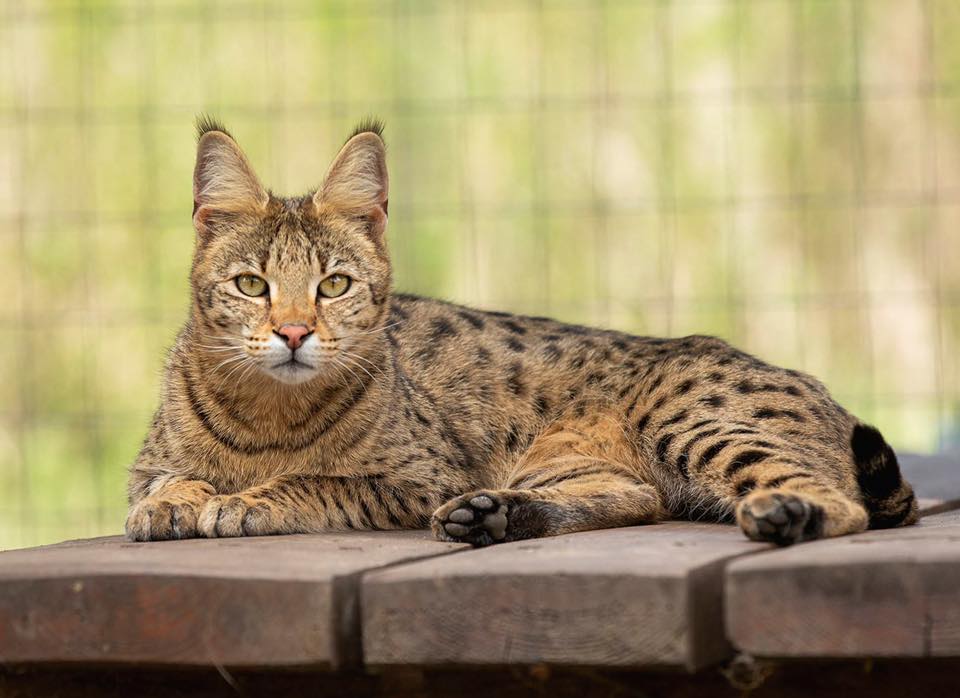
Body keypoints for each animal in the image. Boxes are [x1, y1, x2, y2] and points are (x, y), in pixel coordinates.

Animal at [124, 118, 920, 544]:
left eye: (334, 286)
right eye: (251, 285)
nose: (293, 332)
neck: (268, 415)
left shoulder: (418, 477)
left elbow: (317, 481)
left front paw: (247, 499)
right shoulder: (146, 461)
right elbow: (164, 477)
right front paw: (174, 501)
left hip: (695, 421)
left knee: (839, 503)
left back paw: (788, 515)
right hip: (562, 461)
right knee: (637, 497)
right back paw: (495, 515)